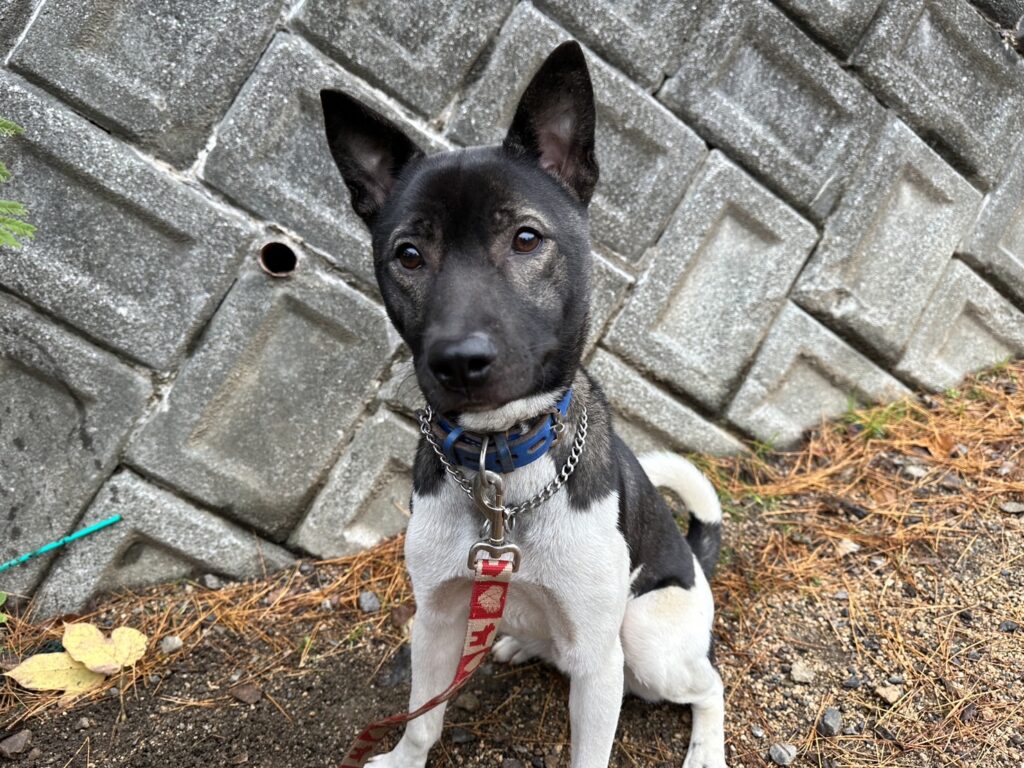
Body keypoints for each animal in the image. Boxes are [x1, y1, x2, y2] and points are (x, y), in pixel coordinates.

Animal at [321, 41, 727, 768]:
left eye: (527, 239)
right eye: (408, 254)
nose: (458, 360)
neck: (499, 461)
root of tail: (695, 566)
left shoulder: (599, 660)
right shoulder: (437, 616)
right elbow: (422, 719)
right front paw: (402, 759)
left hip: (646, 639)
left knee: (709, 684)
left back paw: (707, 747)